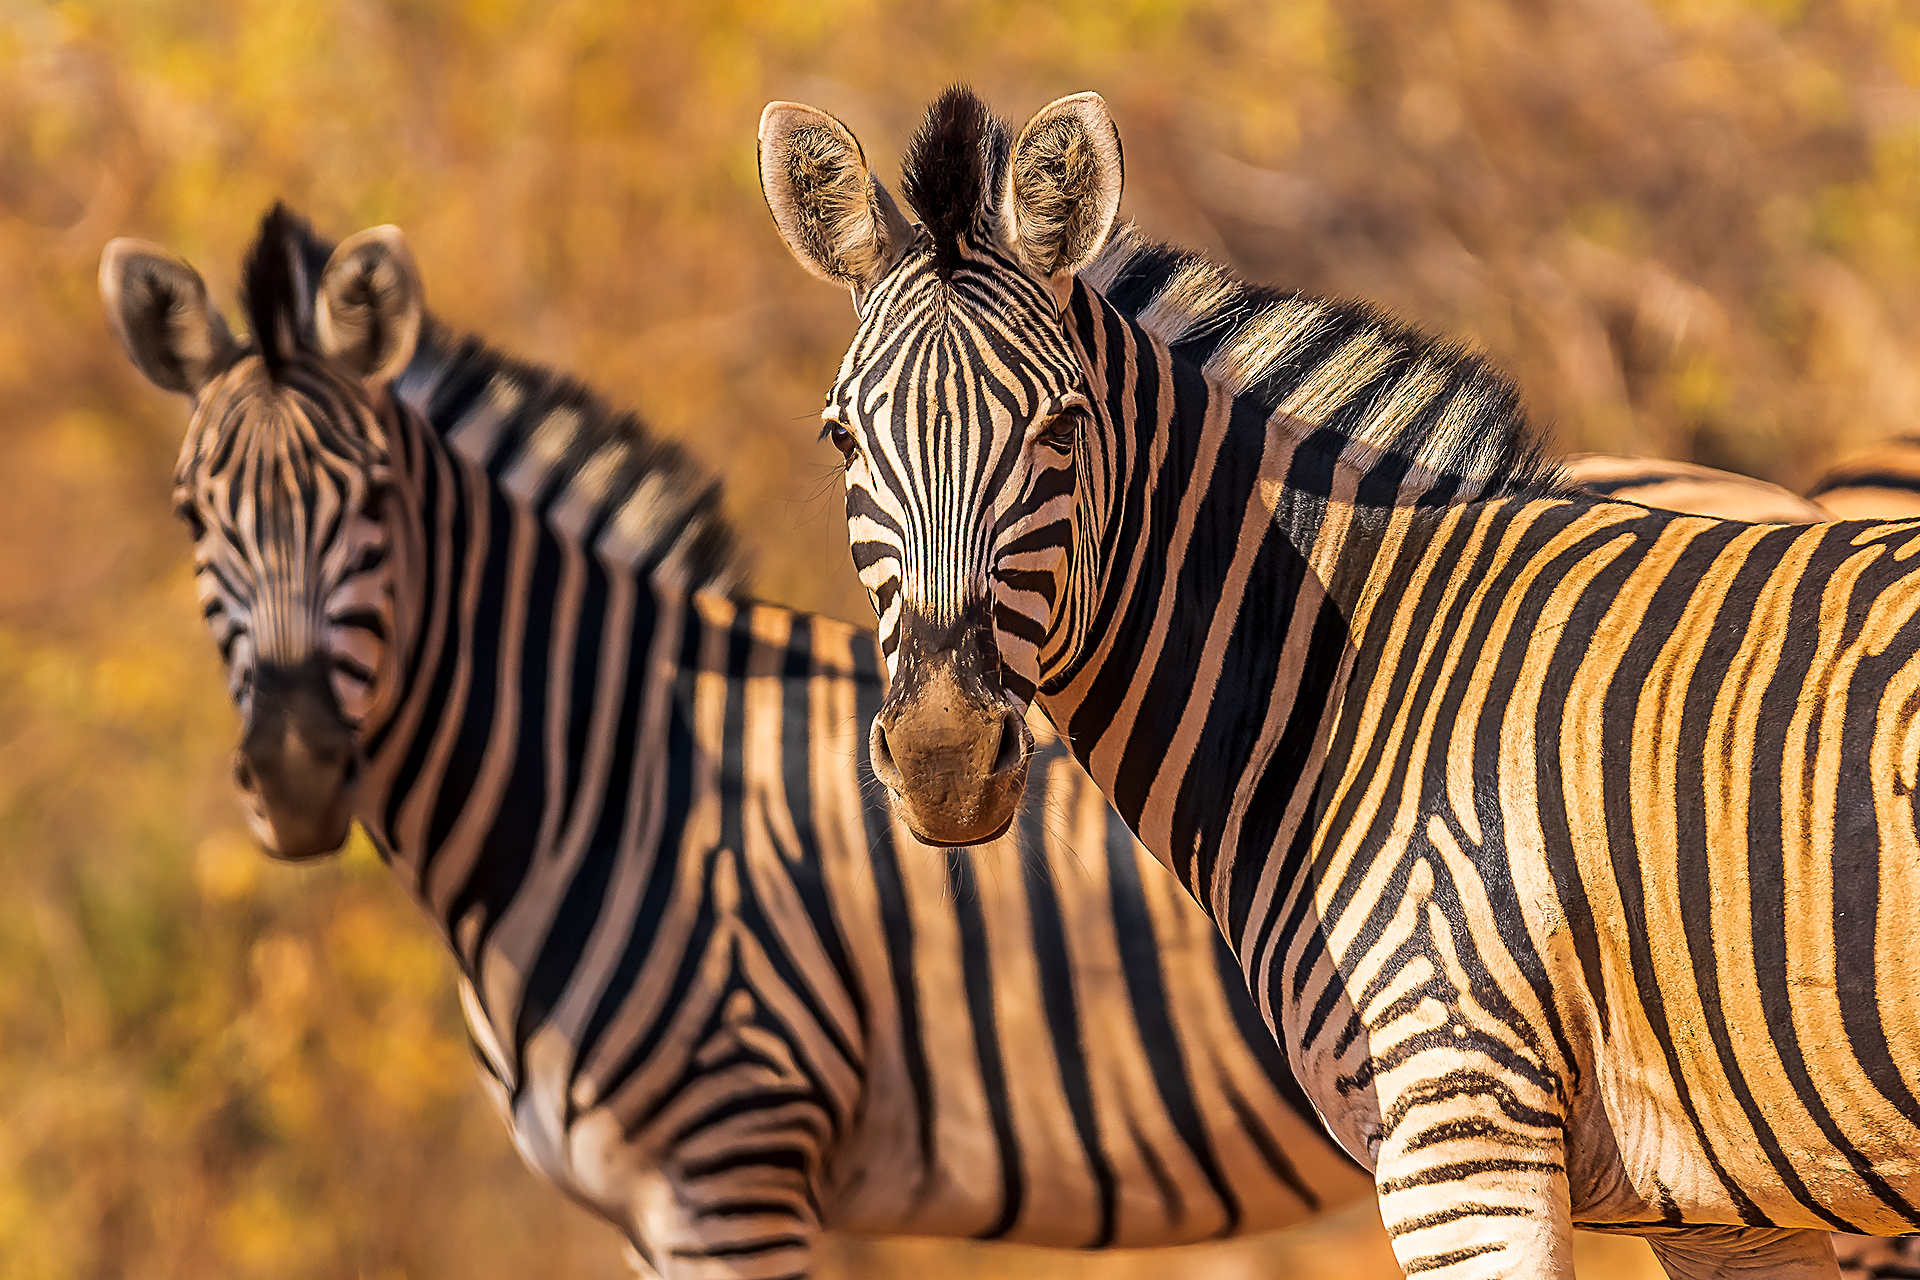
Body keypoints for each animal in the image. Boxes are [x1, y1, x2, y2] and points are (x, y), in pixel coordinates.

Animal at [98, 205, 1378, 1279]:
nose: (296, 770)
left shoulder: (734, 1161)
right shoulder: (647, 1209)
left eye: (371, 501)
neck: (610, 772)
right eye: (191, 515)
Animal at [760, 86, 1920, 1277]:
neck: (1341, 690)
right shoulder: (1723, 1210)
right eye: (841, 437)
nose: (943, 759)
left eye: (1064, 427)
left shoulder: (1462, 1137)